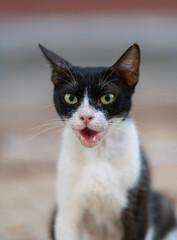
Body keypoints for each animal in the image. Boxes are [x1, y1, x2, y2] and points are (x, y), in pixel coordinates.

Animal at [38, 43, 177, 240]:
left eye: (107, 97)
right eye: (70, 98)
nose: (86, 116)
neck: (98, 154)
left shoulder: (136, 214)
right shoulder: (67, 213)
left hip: (161, 203)